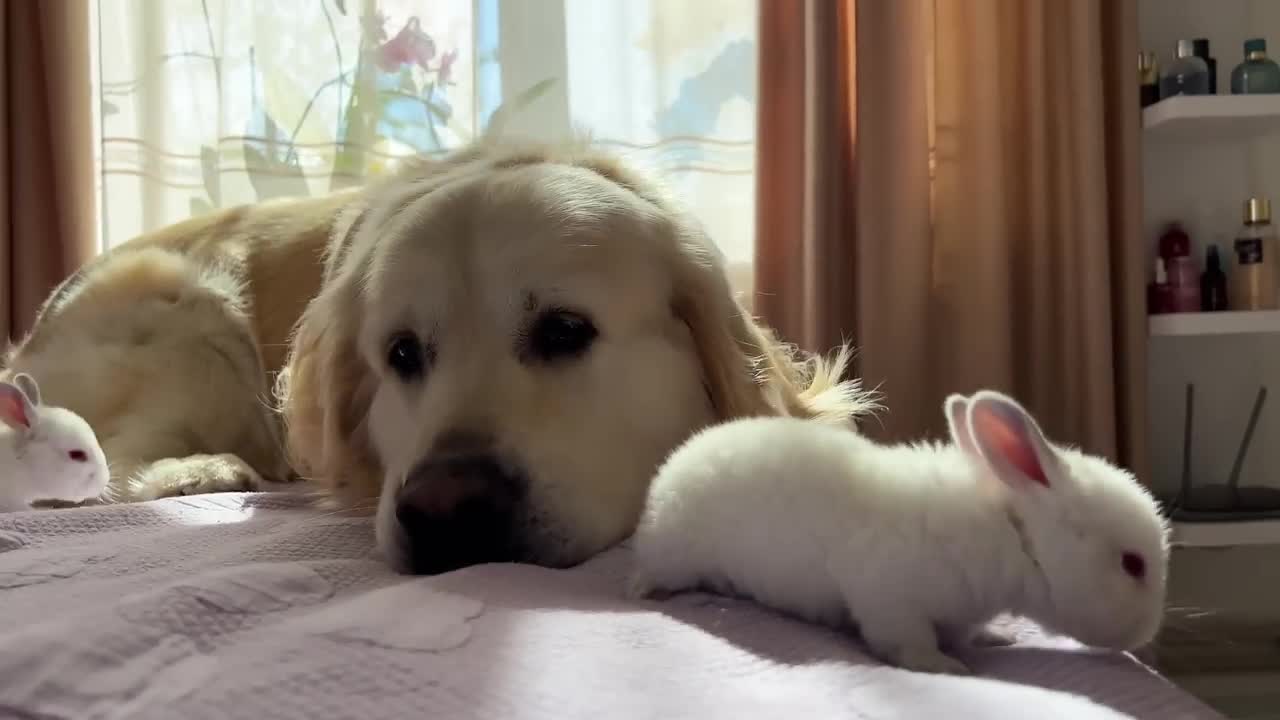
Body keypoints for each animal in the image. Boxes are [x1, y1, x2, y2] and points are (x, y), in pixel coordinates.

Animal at [627, 389, 1172, 671]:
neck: (1012, 540)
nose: (1148, 634)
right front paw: (947, 667)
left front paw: (993, 638)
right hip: (675, 552)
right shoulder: (887, 597)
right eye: (1133, 564)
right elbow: (907, 643)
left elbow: (964, 632)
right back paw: (648, 589)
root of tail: (669, 471)